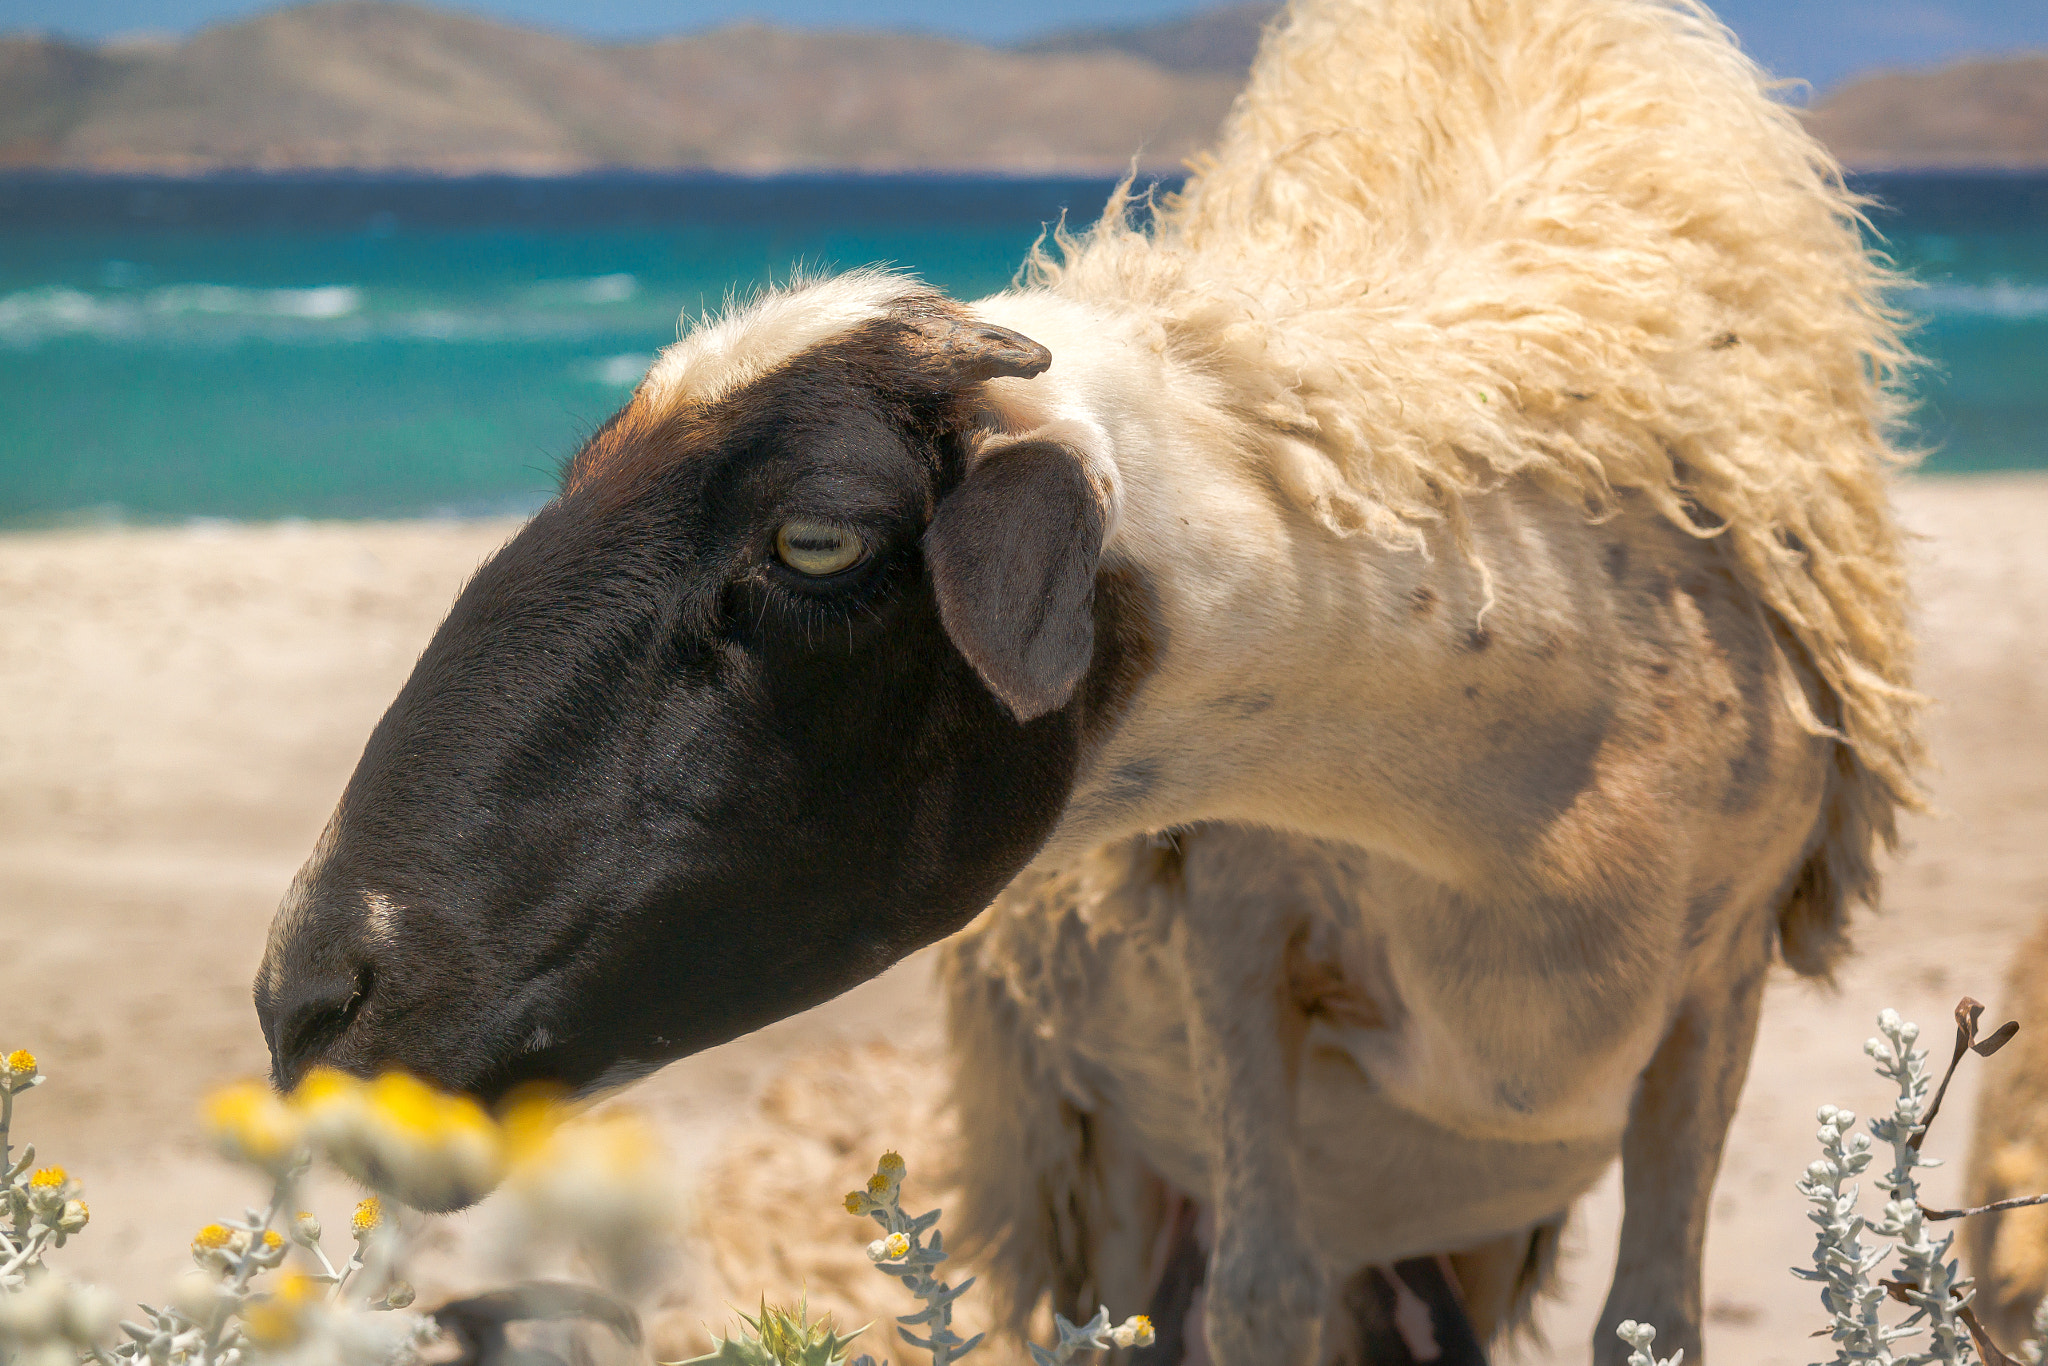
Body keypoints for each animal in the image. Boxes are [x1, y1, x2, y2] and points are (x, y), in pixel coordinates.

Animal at [256, 2, 1916, 1366]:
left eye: (815, 538)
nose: (300, 1000)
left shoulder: (1719, 987)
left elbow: (1660, 1317)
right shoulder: (1236, 944)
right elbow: (1258, 1302)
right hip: (1097, 1174)